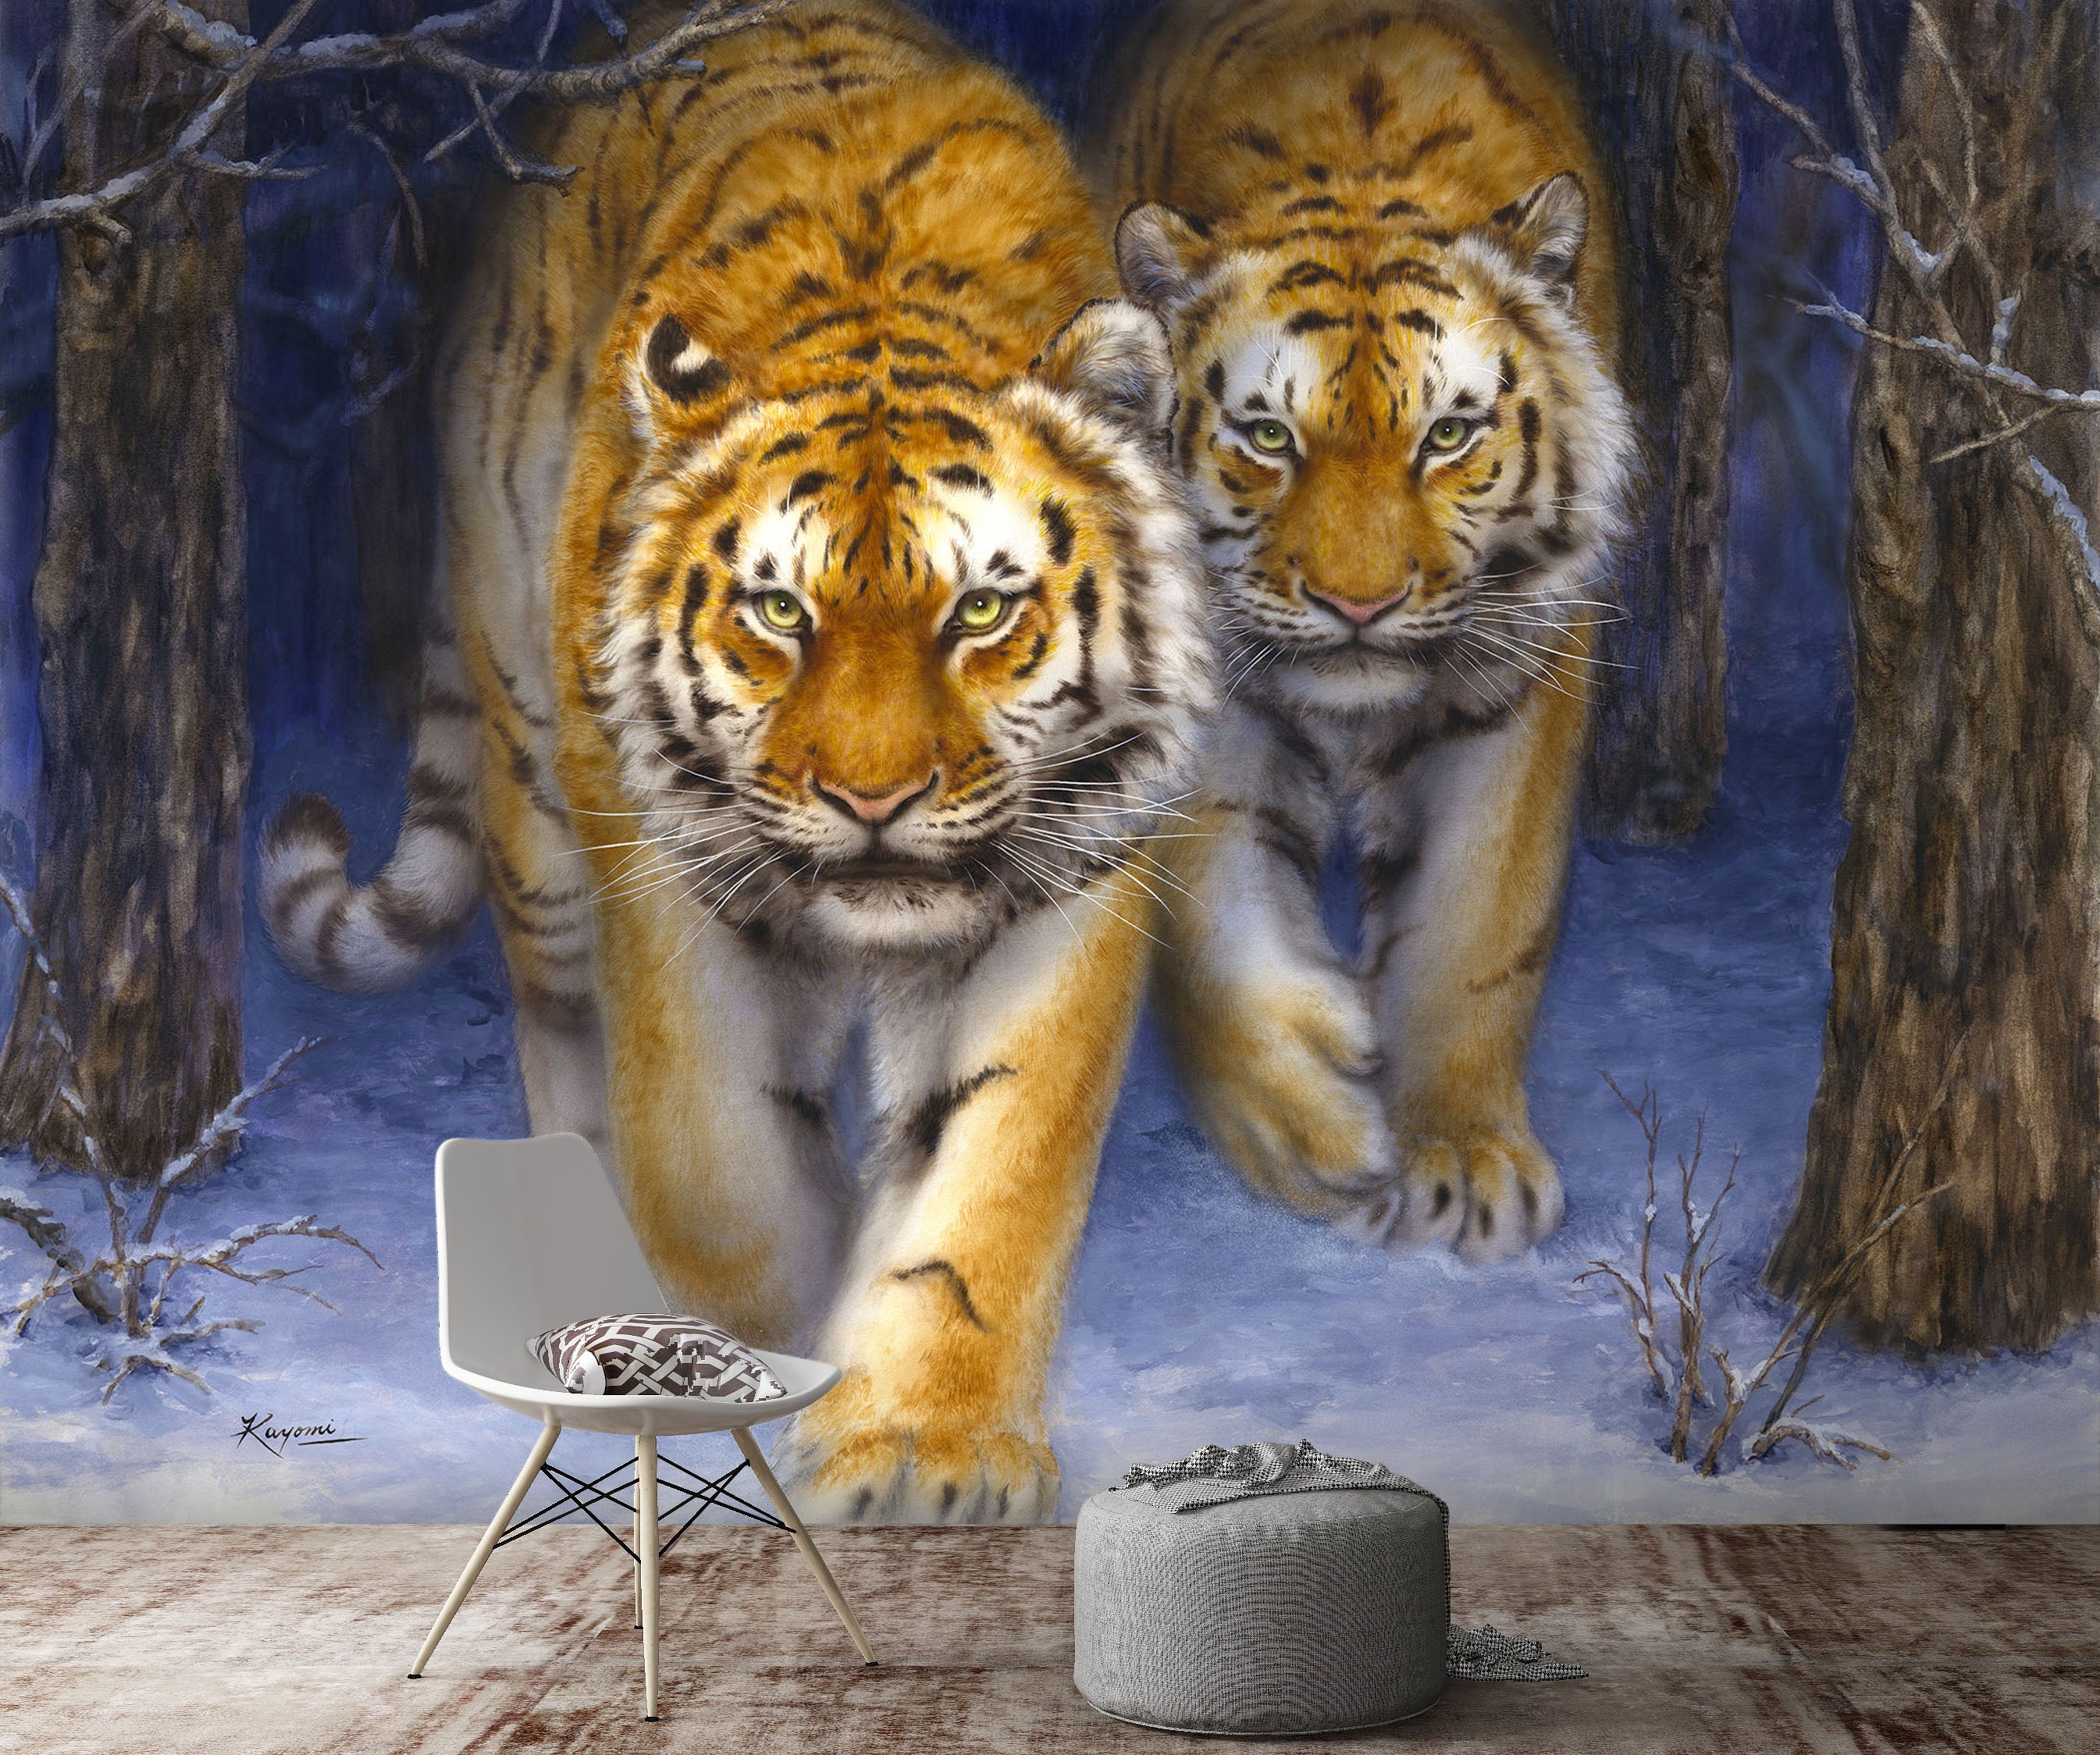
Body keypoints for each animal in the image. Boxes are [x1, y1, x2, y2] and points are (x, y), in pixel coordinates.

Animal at [258, 0, 1213, 1524]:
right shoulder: (669, 878)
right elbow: (717, 1167)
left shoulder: (1076, 875)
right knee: (568, 1054)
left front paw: (923, 1453)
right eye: (779, 611)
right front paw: (765, 1353)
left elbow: (995, 1174)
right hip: (536, 794)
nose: (874, 801)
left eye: (981, 611)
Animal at [1088, 0, 1635, 1262]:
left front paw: (1462, 1163)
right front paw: (1307, 1130)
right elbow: (1215, 923)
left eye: (1447, 436)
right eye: (1265, 438)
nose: (1357, 604)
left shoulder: (1515, 693)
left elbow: (1471, 934)